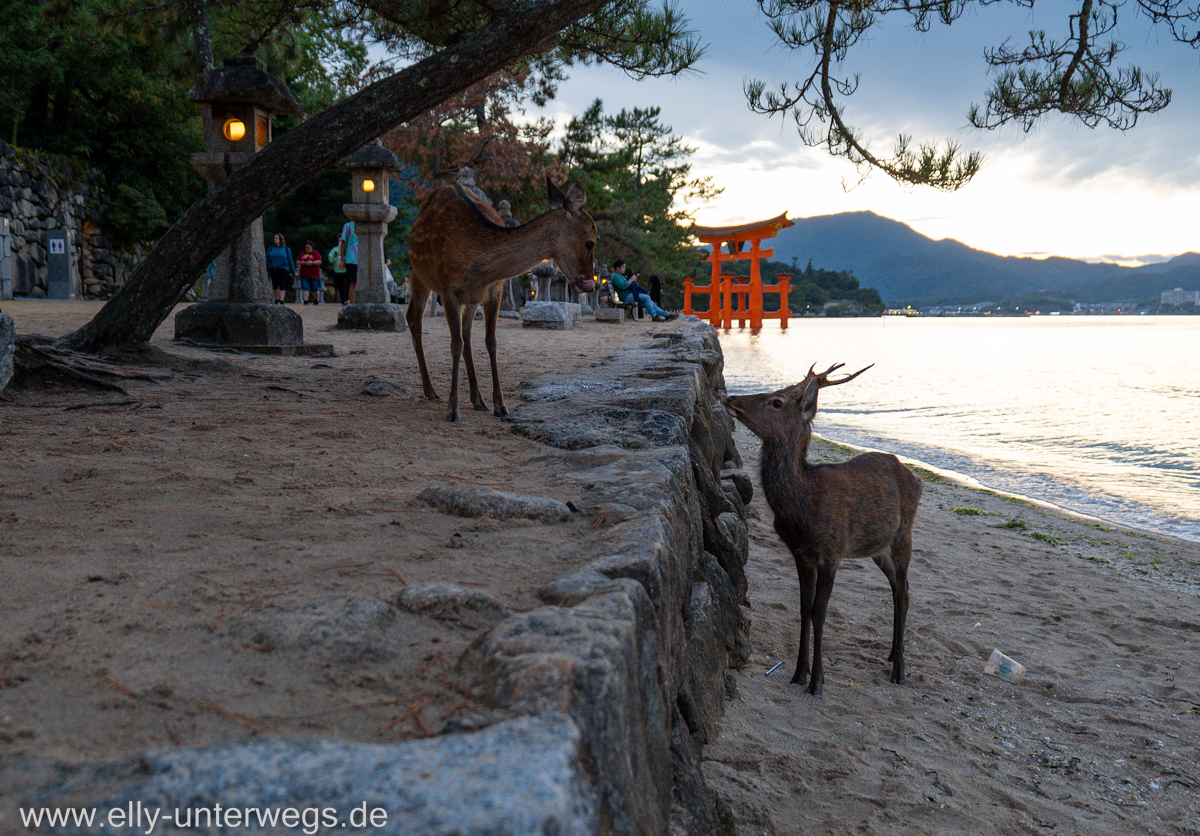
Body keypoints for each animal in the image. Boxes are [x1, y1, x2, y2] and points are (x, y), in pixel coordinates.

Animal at [408, 176, 600, 424]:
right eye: (590, 242)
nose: (589, 283)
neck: (478, 267)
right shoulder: (448, 288)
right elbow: (455, 344)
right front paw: (452, 410)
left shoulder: (494, 291)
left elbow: (491, 342)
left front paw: (500, 405)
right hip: (419, 273)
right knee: (415, 319)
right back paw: (430, 390)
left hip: (471, 299)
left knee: (466, 333)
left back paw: (478, 399)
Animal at [720, 362, 926, 695]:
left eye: (776, 402)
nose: (731, 398)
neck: (803, 508)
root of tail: (917, 479)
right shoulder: (800, 554)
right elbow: (804, 608)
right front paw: (798, 673)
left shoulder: (832, 551)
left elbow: (819, 611)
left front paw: (817, 681)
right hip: (877, 548)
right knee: (896, 588)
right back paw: (893, 652)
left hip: (903, 534)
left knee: (905, 592)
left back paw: (899, 670)